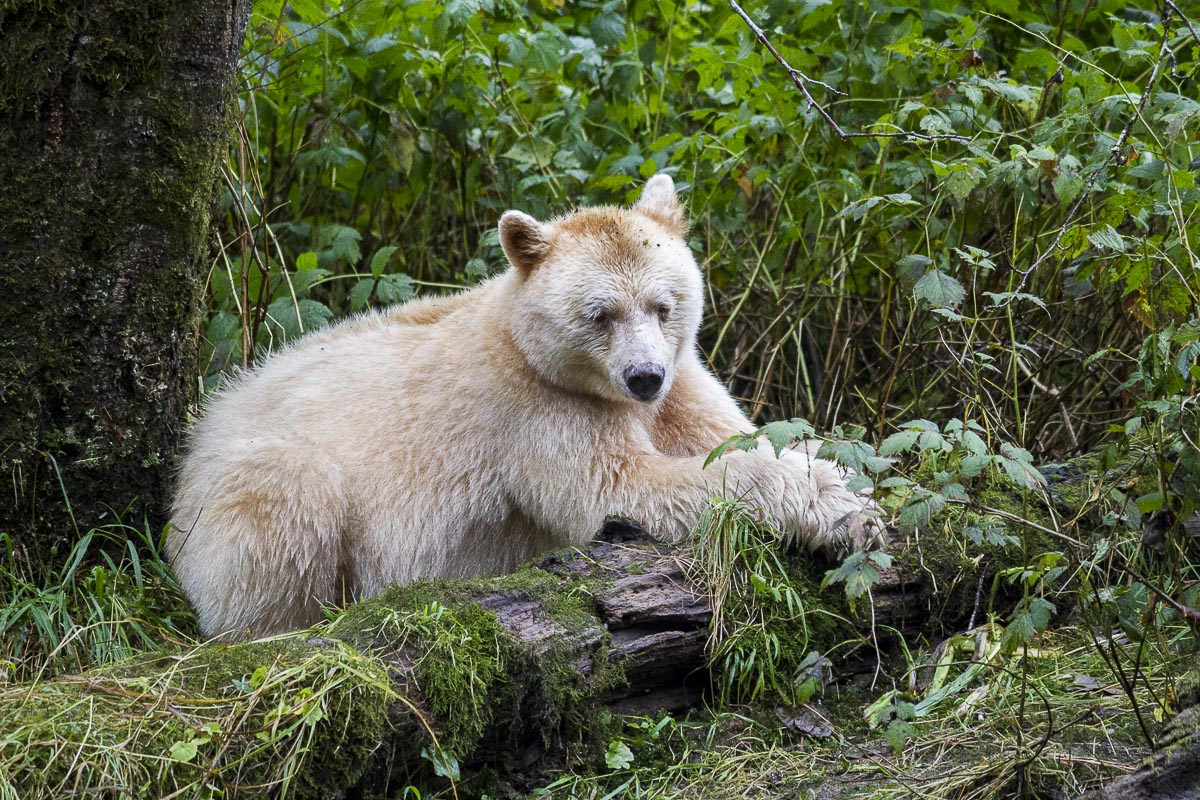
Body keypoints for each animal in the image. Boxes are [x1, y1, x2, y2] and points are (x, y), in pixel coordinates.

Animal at [167, 175, 878, 640]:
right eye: (601, 314)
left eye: (663, 304)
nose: (644, 376)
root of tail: (208, 422)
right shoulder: (537, 412)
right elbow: (627, 487)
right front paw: (830, 506)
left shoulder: (684, 384)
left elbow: (741, 432)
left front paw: (847, 483)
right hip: (242, 487)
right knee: (283, 502)